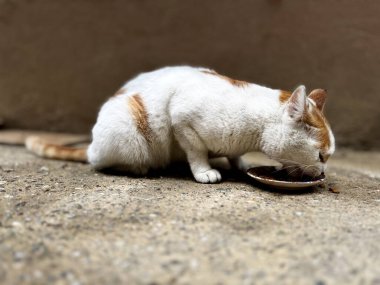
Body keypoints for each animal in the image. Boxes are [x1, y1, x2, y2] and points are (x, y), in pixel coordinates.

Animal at [26, 65, 336, 183]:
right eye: (321, 156)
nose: (323, 171)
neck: (253, 134)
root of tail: (92, 146)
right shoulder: (182, 120)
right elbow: (196, 153)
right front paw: (204, 172)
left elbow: (234, 155)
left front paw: (240, 164)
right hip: (128, 132)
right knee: (103, 162)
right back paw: (141, 167)